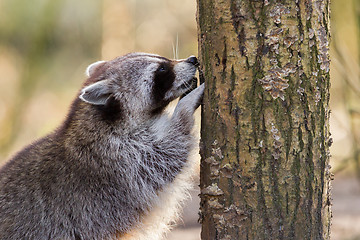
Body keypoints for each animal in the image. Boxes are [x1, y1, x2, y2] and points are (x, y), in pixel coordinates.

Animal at [0, 53, 204, 240]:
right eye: (161, 70)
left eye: (163, 60)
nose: (193, 59)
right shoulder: (121, 158)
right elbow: (168, 154)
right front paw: (184, 108)